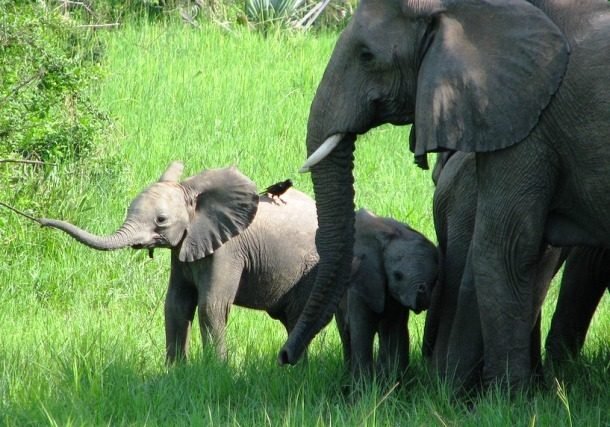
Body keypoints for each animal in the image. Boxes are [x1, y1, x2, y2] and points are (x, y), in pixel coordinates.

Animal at [40, 164, 318, 364]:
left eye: (161, 220)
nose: (41, 222)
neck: (193, 194)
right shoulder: (184, 248)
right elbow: (176, 304)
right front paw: (175, 371)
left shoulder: (228, 250)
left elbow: (211, 306)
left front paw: (217, 369)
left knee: (298, 317)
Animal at [332, 209, 436, 382]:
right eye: (397, 276)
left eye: (434, 279)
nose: (422, 289)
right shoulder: (361, 282)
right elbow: (362, 331)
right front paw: (363, 388)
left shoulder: (397, 297)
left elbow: (394, 332)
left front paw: (393, 384)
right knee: (346, 334)